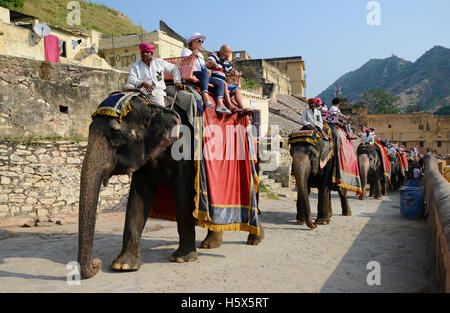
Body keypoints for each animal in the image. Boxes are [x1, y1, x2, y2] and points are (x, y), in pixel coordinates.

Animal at [77, 91, 260, 278]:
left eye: (116, 135)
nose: (96, 263)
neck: (156, 107)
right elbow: (138, 197)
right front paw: (123, 266)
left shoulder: (185, 149)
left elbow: (183, 193)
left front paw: (182, 259)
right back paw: (210, 244)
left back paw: (254, 240)